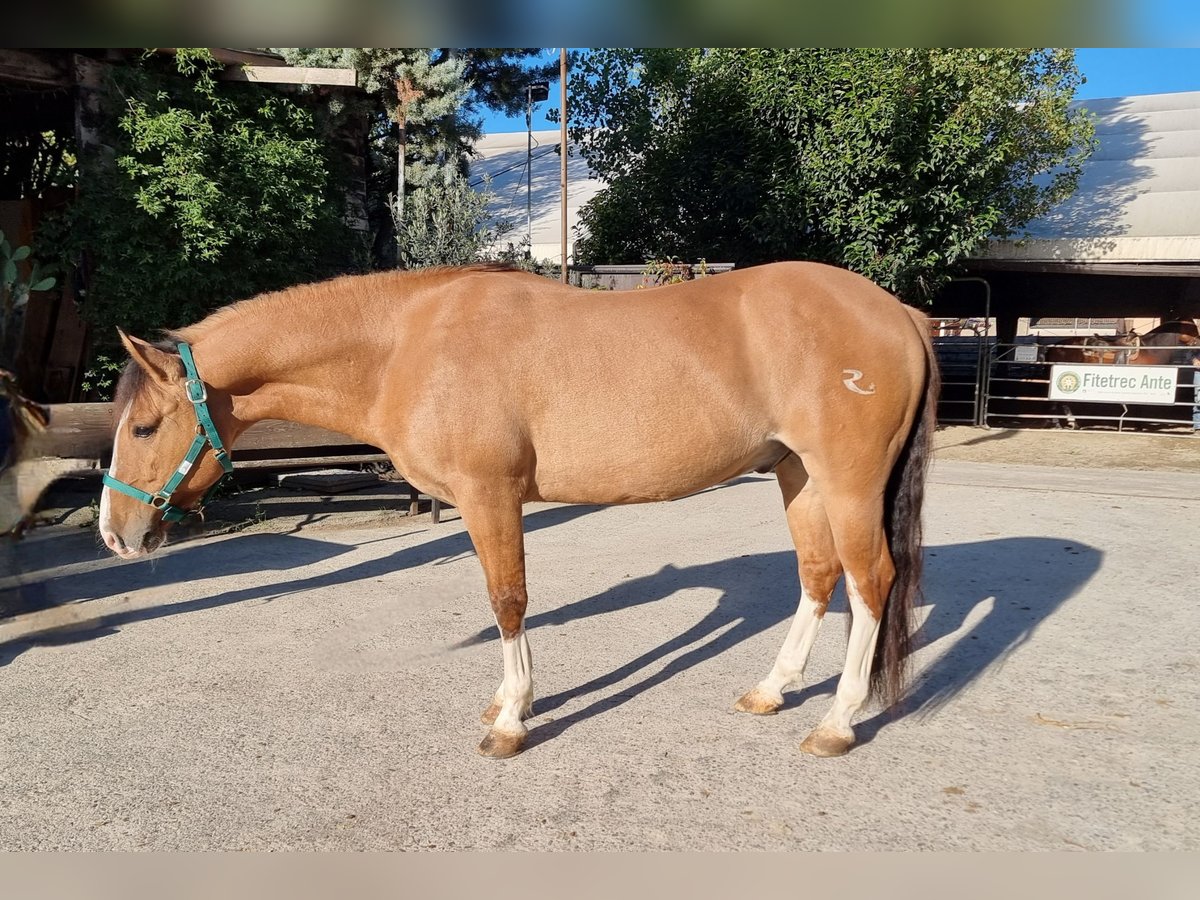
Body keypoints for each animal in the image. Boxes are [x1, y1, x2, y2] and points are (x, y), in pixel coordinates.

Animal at [99, 261, 939, 760]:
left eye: (142, 428)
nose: (115, 534)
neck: (406, 345)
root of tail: (898, 312)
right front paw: (507, 701)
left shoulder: (489, 495)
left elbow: (507, 600)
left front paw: (512, 720)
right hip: (797, 474)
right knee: (819, 575)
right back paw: (772, 690)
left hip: (846, 481)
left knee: (871, 581)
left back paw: (836, 722)